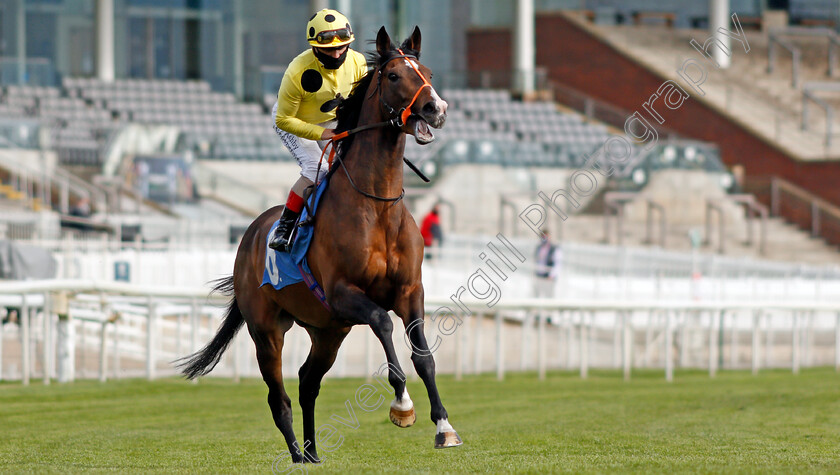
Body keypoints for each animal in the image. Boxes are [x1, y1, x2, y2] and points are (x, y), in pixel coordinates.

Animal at [178, 27, 462, 464]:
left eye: (427, 72)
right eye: (394, 75)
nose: (437, 108)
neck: (377, 205)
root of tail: (250, 236)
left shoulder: (410, 291)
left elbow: (424, 356)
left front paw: (444, 427)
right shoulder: (344, 292)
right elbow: (382, 324)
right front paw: (402, 406)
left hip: (328, 331)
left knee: (307, 382)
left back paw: (312, 453)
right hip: (267, 331)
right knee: (278, 397)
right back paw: (297, 456)